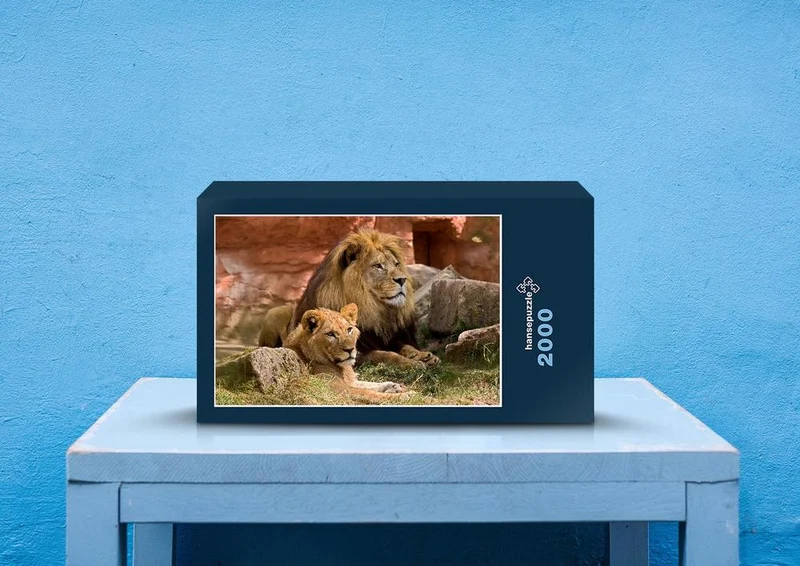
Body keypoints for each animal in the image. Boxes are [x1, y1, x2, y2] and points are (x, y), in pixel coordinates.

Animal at [260, 229, 439, 369]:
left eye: (396, 264)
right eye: (378, 266)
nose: (403, 280)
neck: (374, 310)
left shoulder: (387, 338)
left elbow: (405, 346)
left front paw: (422, 355)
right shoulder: (355, 353)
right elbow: (385, 355)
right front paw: (412, 363)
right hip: (276, 312)